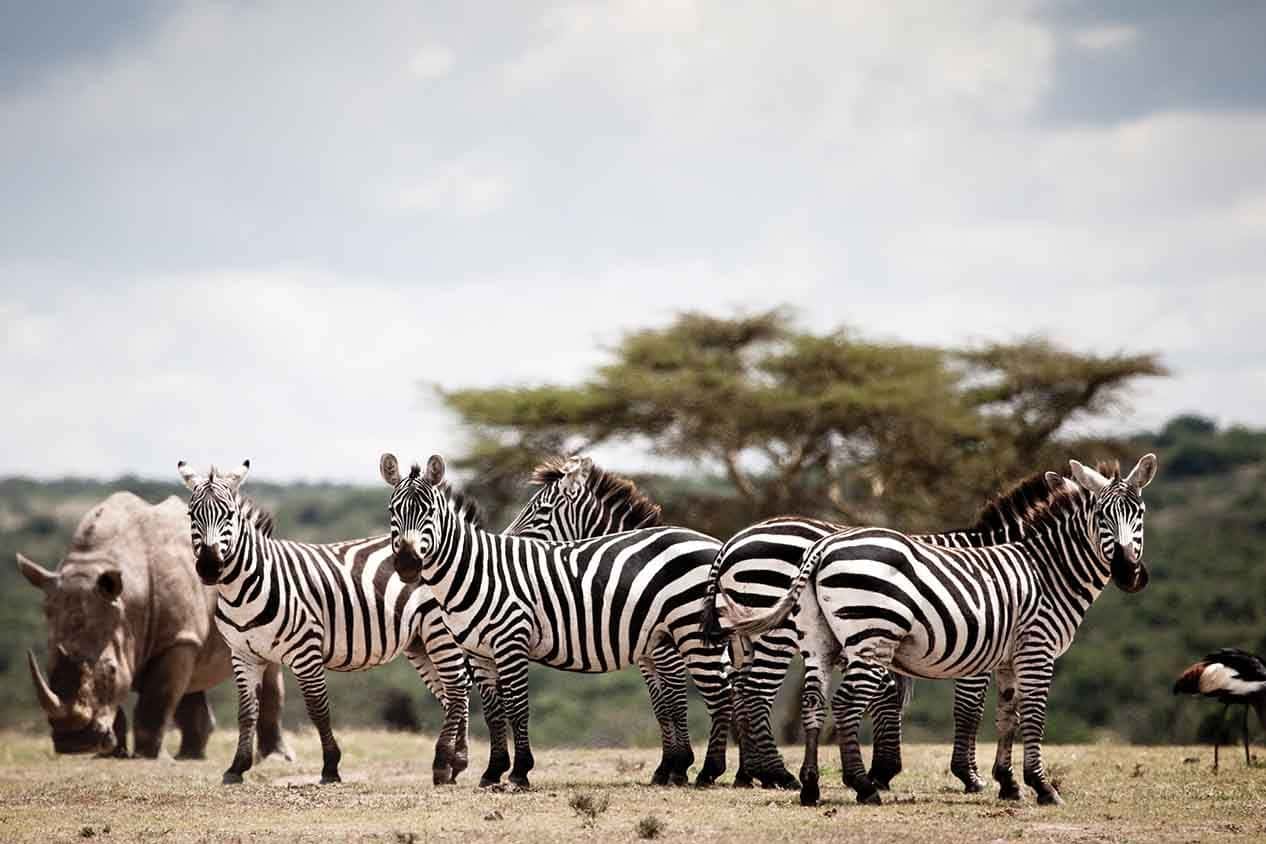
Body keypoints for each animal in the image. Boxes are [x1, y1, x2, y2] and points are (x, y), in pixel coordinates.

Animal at [177, 459, 491, 786]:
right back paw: (456, 762)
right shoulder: (243, 655)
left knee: (457, 690)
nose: (209, 567)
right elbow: (247, 712)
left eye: (229, 514)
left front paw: (330, 766)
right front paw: (236, 767)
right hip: (419, 643)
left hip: (439, 633)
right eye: (191, 514)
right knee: (452, 693)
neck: (244, 588)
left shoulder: (305, 650)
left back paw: (444, 764)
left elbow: (318, 709)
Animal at [381, 452, 733, 789]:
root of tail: (715, 544)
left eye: (429, 512)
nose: (407, 564)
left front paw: (519, 773)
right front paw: (493, 772)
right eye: (392, 511)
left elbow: (518, 707)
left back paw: (708, 772)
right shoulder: (479, 653)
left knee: (719, 696)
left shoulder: (512, 641)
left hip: (692, 634)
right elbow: (494, 713)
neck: (474, 573)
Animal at [723, 454, 1157, 805]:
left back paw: (789, 782)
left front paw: (1007, 783)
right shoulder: (1023, 649)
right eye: (1101, 516)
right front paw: (1023, 784)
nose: (1129, 574)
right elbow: (997, 712)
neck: (1042, 566)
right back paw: (803, 778)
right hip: (814, 637)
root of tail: (736, 539)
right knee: (776, 695)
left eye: (1139, 514)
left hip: (809, 640)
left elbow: (1007, 714)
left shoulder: (1004, 655)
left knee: (792, 697)